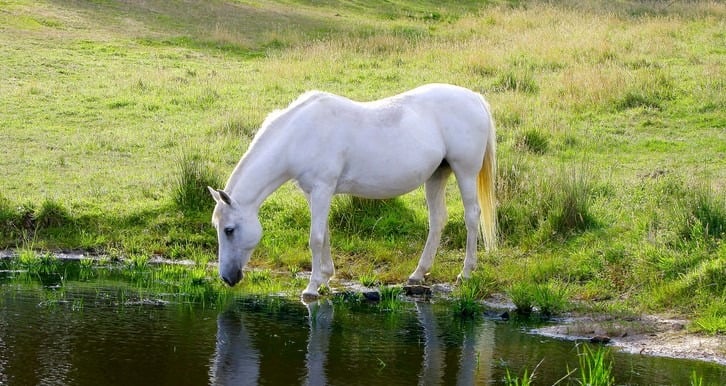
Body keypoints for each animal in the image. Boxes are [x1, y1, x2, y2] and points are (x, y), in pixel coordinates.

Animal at [208, 83, 498, 298]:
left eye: (229, 230)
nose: (227, 278)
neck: (300, 134)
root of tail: (475, 98)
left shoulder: (322, 189)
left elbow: (315, 238)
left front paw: (311, 287)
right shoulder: (314, 193)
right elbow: (324, 234)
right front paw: (325, 277)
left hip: (465, 172)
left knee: (471, 217)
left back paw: (466, 273)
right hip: (437, 175)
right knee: (437, 220)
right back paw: (417, 274)